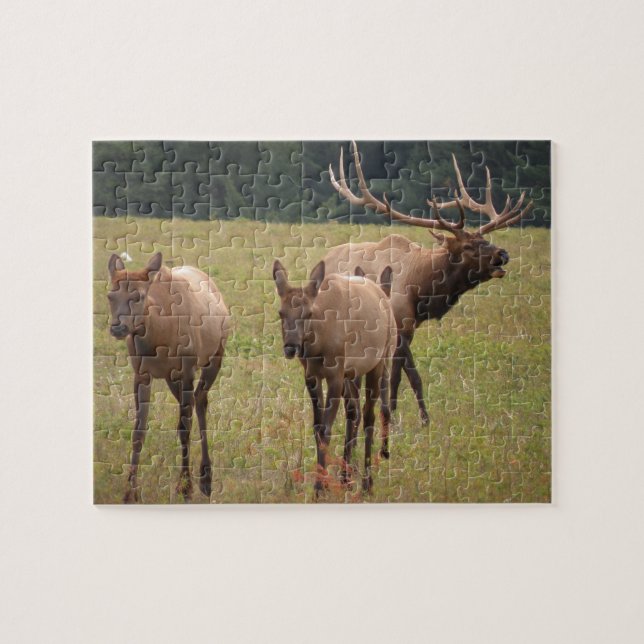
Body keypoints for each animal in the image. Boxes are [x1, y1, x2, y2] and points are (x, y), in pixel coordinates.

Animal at [107, 252, 230, 503]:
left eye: (138, 295)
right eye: (110, 295)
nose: (118, 327)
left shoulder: (187, 368)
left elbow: (183, 428)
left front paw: (185, 487)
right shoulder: (141, 373)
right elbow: (138, 430)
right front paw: (130, 492)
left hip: (215, 356)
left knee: (201, 400)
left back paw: (206, 479)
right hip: (171, 378)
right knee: (196, 400)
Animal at [273, 259, 396, 494]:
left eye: (308, 313)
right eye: (281, 313)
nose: (291, 347)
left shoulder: (335, 375)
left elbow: (327, 429)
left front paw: (319, 487)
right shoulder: (312, 376)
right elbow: (317, 427)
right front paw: (324, 482)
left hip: (379, 362)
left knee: (370, 415)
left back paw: (367, 481)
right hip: (353, 374)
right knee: (354, 411)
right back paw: (346, 476)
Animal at [326, 141, 533, 424]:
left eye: (484, 240)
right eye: (468, 246)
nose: (503, 254)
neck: (422, 288)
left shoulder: (408, 326)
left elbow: (409, 375)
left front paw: (424, 419)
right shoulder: (399, 324)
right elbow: (402, 374)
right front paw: (396, 416)